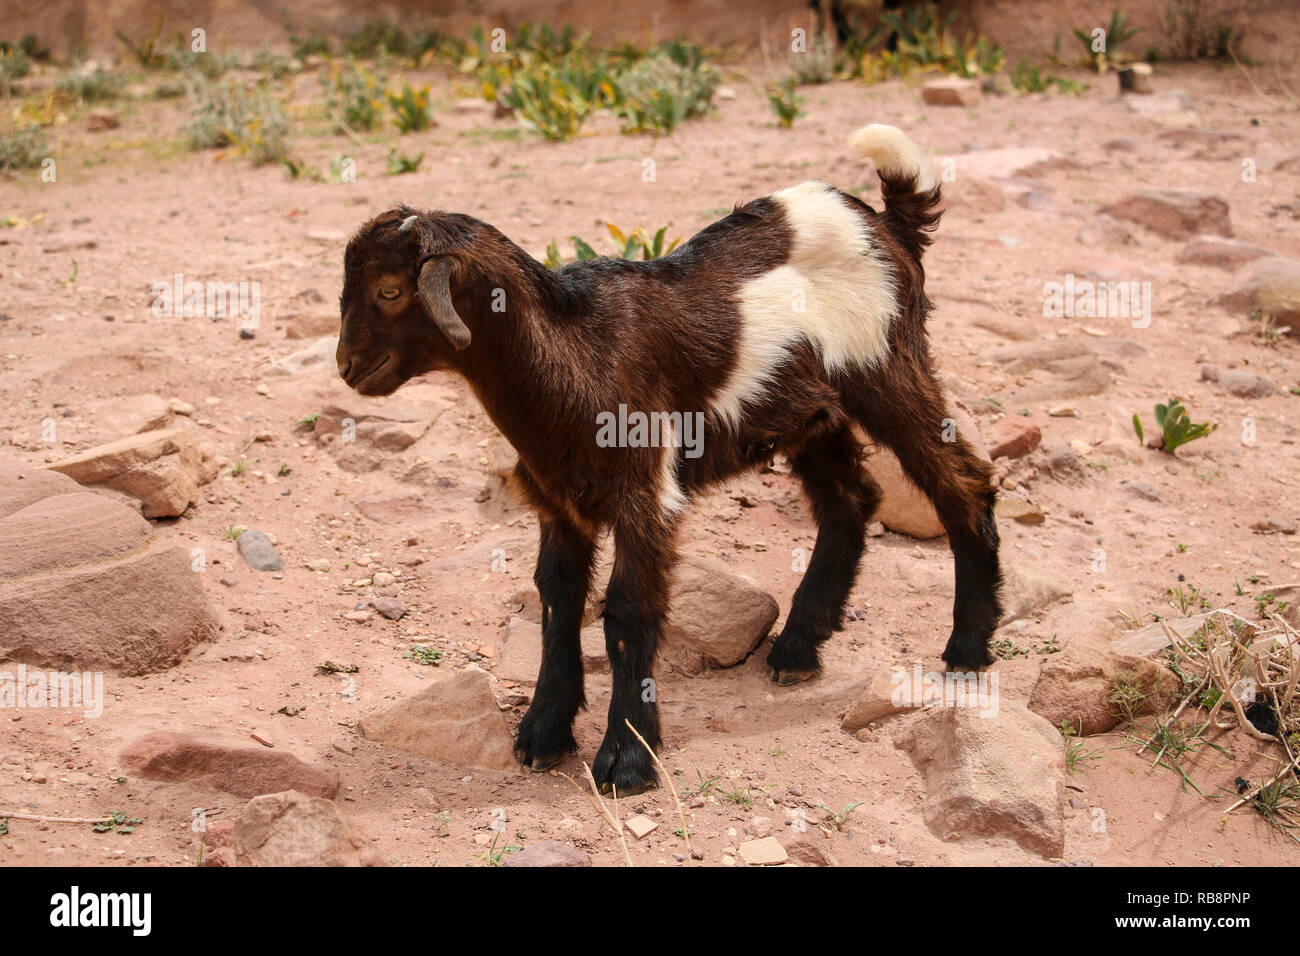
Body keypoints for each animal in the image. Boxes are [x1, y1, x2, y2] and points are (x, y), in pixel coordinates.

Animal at [336, 124, 1001, 795]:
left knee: (961, 483)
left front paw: (628, 760)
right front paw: (543, 735)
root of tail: (888, 222)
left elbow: (629, 609)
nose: (347, 367)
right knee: (850, 499)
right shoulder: (560, 500)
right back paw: (797, 648)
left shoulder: (645, 491)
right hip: (813, 412)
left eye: (390, 292)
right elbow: (557, 597)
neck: (574, 353)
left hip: (887, 366)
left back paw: (967, 649)